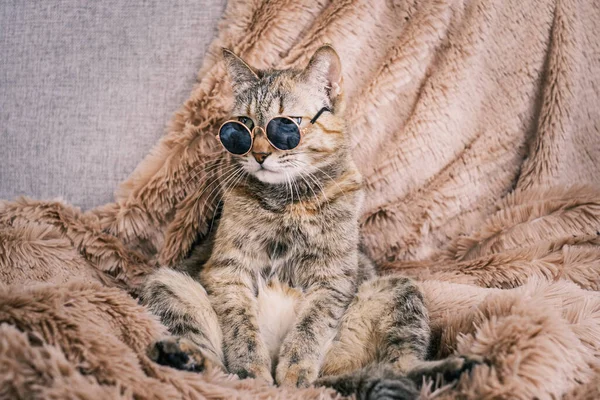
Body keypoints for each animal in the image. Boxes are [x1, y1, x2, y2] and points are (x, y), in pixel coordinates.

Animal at [139, 45, 478, 398]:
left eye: (287, 126)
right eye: (243, 124)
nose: (259, 154)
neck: (286, 203)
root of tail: (332, 380)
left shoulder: (332, 277)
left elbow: (309, 328)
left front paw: (293, 372)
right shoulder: (228, 270)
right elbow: (242, 330)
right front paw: (254, 372)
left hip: (399, 293)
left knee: (401, 366)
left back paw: (452, 369)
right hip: (168, 285)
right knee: (214, 368)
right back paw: (183, 356)